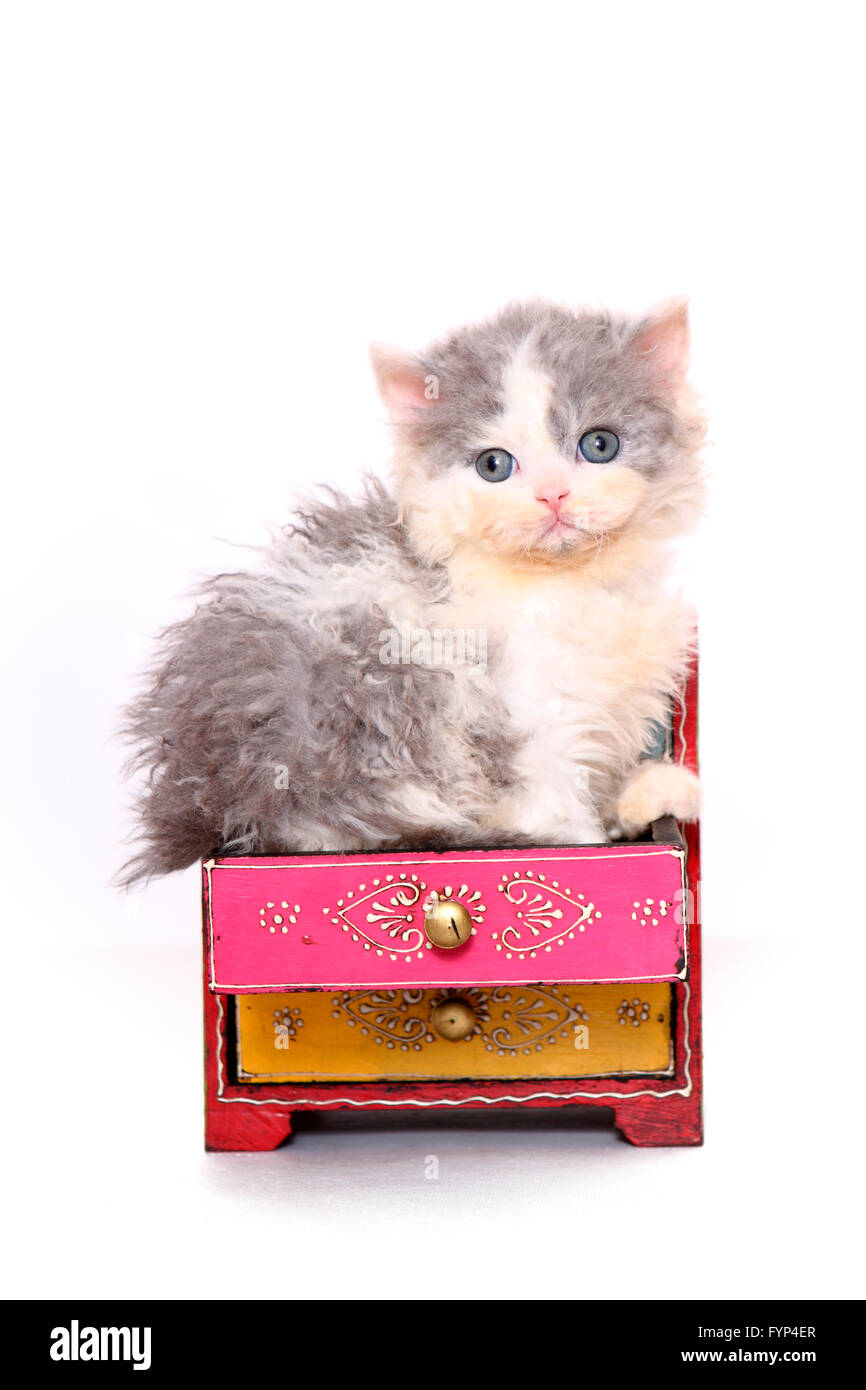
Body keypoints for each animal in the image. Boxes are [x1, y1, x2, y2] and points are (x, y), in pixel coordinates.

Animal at [120, 298, 706, 884]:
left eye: (599, 444)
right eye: (494, 465)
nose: (552, 495)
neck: (569, 581)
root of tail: (226, 805)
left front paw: (641, 798)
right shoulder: (525, 717)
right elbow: (559, 810)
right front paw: (590, 844)